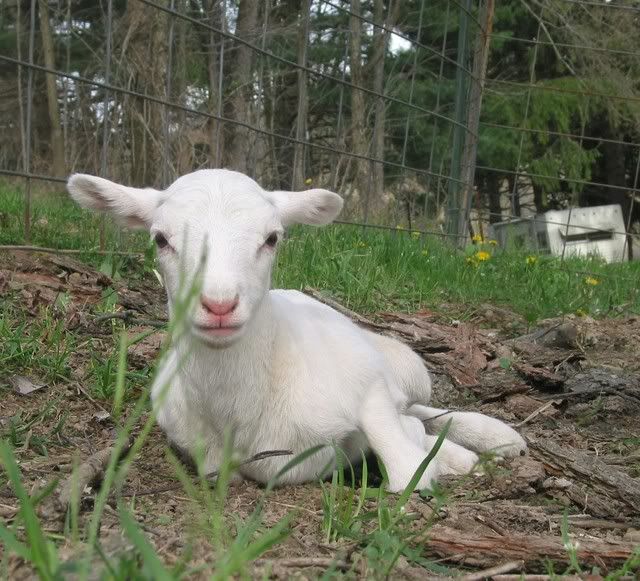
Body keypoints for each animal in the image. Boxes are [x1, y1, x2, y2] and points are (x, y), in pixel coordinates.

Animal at [67, 169, 526, 492]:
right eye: (160, 239)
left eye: (272, 238)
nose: (219, 304)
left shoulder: (365, 381)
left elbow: (405, 468)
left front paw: (449, 459)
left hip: (408, 367)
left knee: (421, 411)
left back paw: (495, 440)